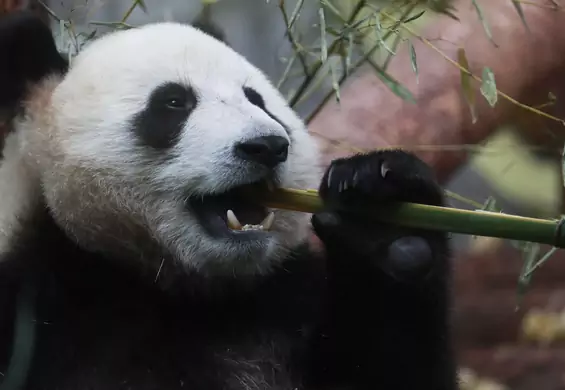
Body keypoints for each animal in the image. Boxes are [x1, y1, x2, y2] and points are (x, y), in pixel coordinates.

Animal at [0, 9, 456, 390]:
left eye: (256, 99)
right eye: (173, 102)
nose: (267, 146)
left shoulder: (282, 302)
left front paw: (384, 223)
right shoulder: (40, 308)